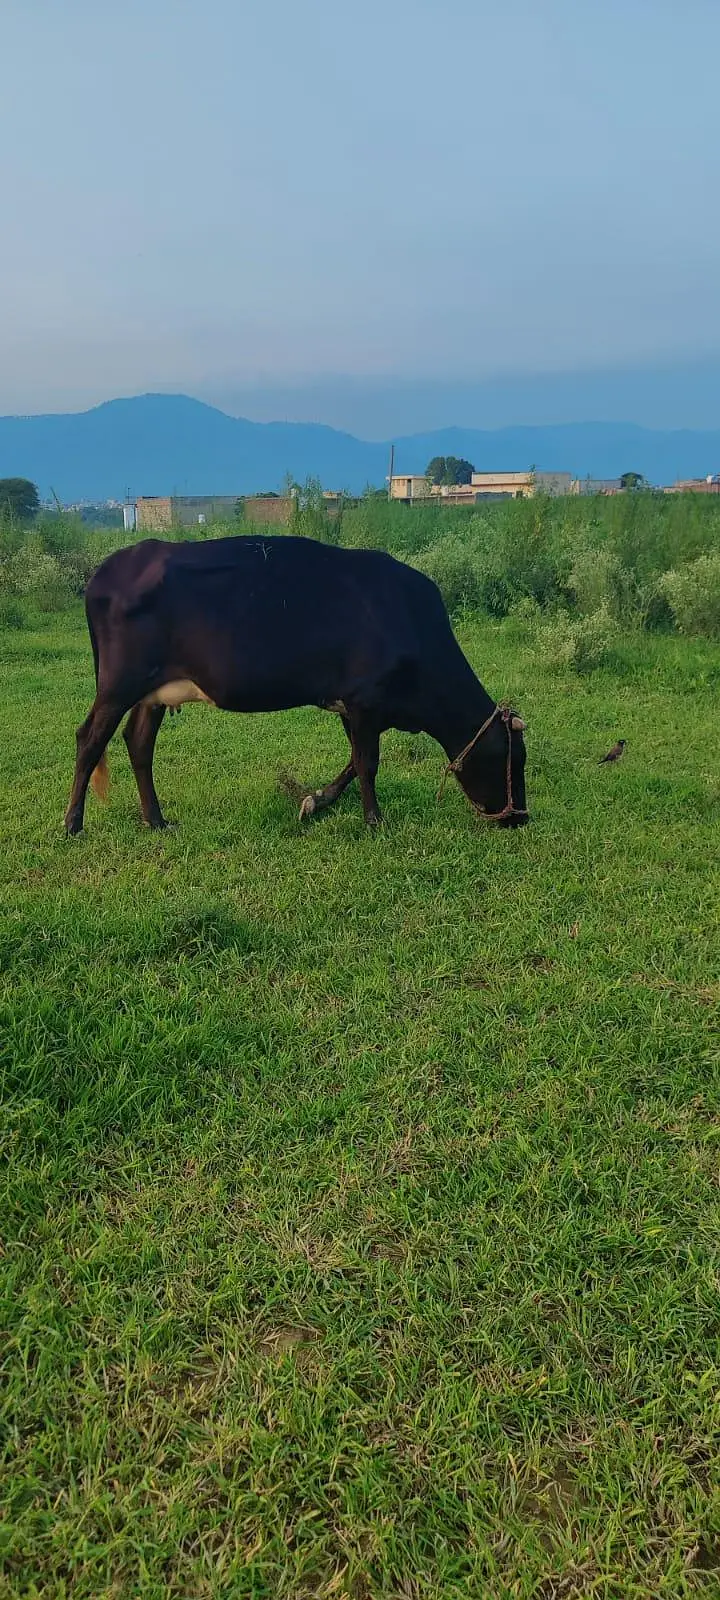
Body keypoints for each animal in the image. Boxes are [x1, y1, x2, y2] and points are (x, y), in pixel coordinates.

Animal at [64, 535, 529, 836]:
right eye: (514, 759)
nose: (520, 817)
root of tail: (109, 569)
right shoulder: (366, 700)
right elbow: (367, 763)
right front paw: (375, 821)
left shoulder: (352, 704)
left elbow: (352, 761)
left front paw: (316, 801)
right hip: (118, 685)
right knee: (90, 739)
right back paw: (73, 824)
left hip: (153, 691)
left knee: (138, 742)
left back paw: (156, 820)